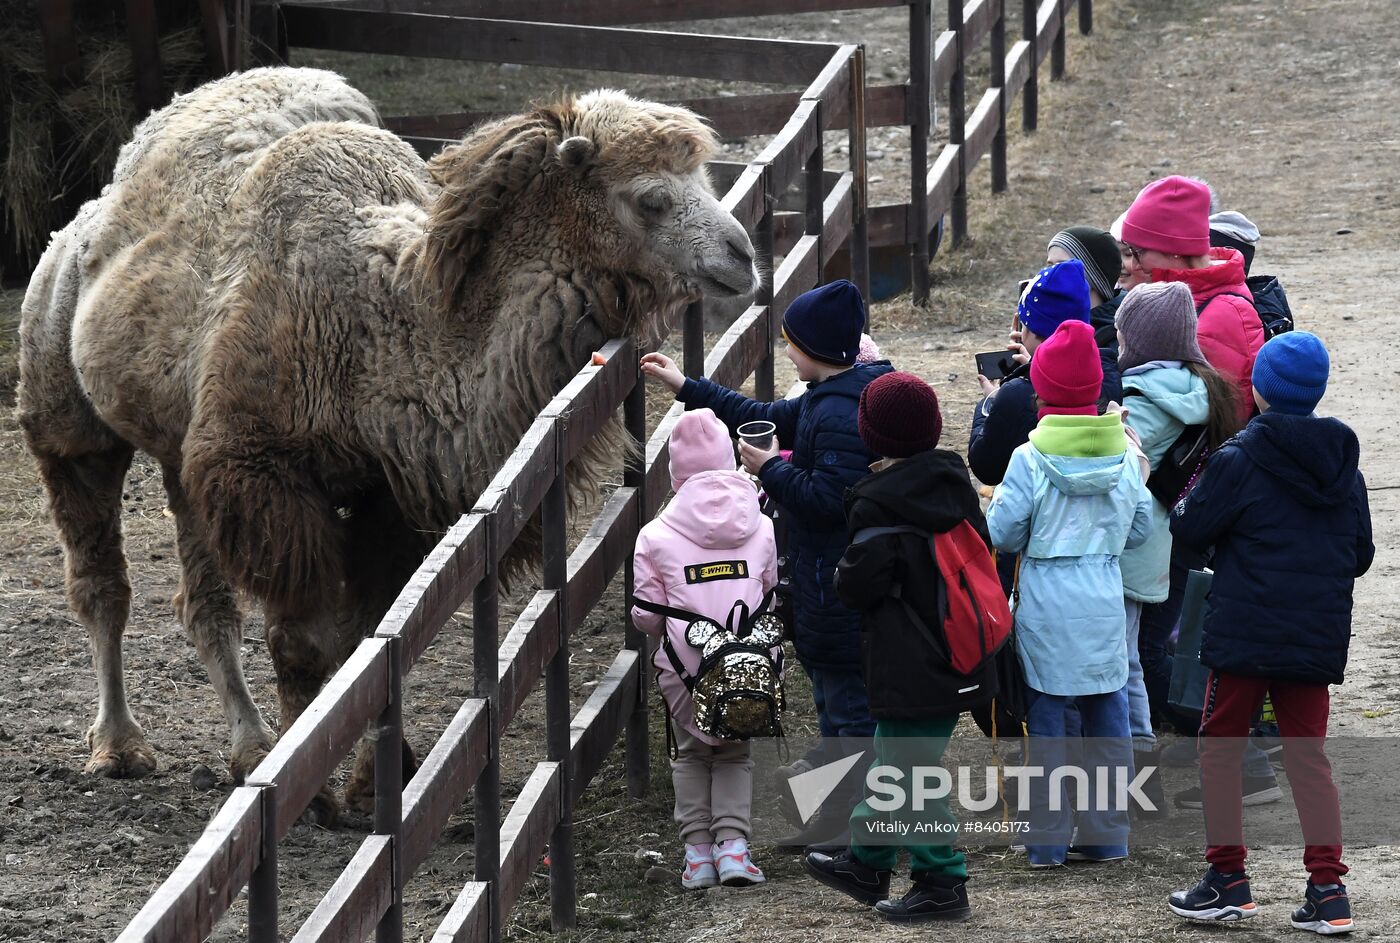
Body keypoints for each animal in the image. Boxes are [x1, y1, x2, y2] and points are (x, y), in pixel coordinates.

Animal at [16, 66, 761, 817]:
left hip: (177, 452)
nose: (743, 254)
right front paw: (311, 791)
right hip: (64, 412)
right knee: (101, 579)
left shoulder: (387, 489)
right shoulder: (264, 472)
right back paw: (121, 746)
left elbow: (372, 639)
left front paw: (380, 777)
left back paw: (249, 745)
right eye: (651, 199)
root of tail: (85, 222)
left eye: (703, 176)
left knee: (204, 600)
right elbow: (303, 644)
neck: (386, 326)